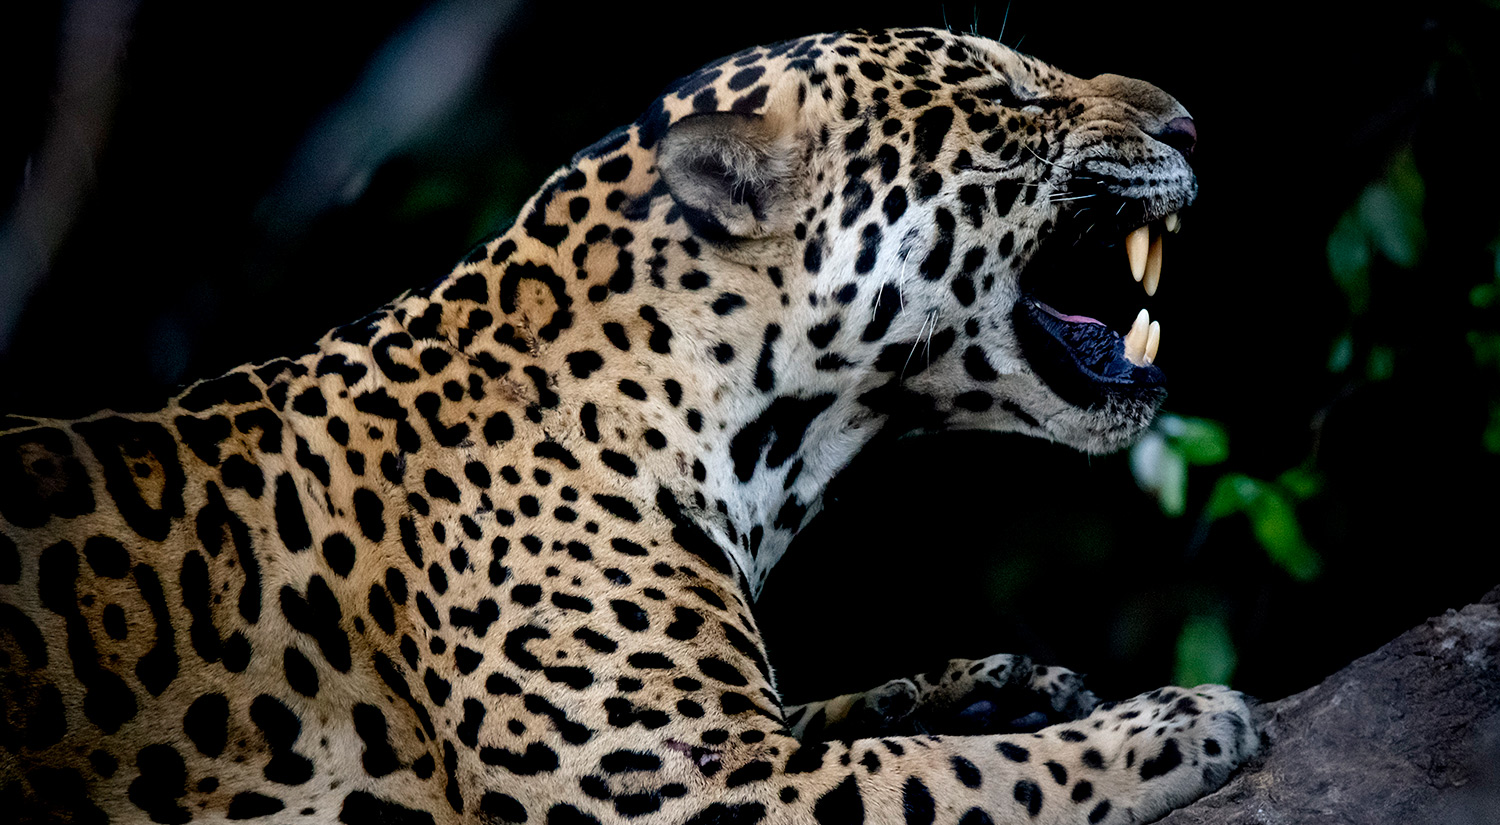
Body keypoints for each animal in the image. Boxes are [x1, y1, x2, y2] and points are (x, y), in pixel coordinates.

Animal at [0, 26, 1258, 825]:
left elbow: (858, 725)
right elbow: (961, 780)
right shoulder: (689, 794)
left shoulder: (729, 739)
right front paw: (1175, 723)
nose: (1194, 123)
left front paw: (989, 686)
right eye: (1010, 98)